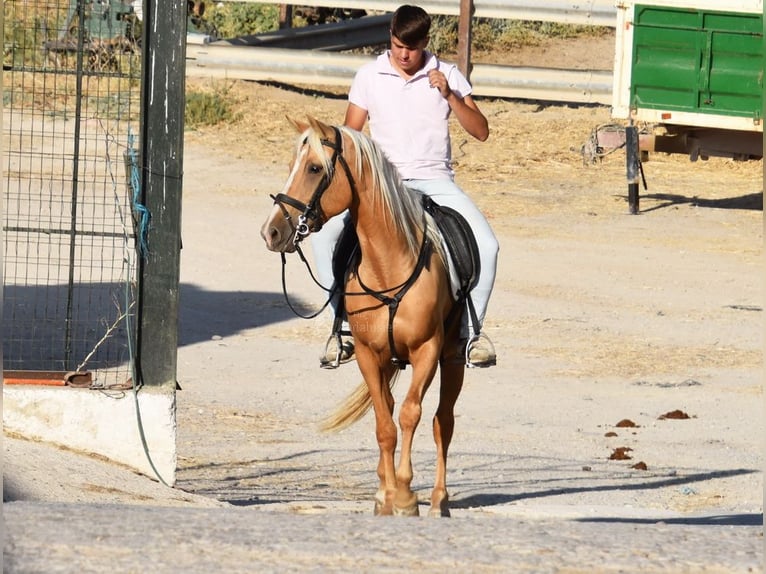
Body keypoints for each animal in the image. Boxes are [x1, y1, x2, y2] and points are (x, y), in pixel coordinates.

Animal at [260, 117, 464, 516]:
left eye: (314, 168)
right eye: (293, 163)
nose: (271, 231)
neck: (389, 268)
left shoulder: (427, 351)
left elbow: (411, 414)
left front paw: (405, 495)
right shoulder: (370, 355)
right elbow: (384, 424)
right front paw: (387, 496)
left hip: (451, 359)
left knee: (442, 422)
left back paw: (438, 500)